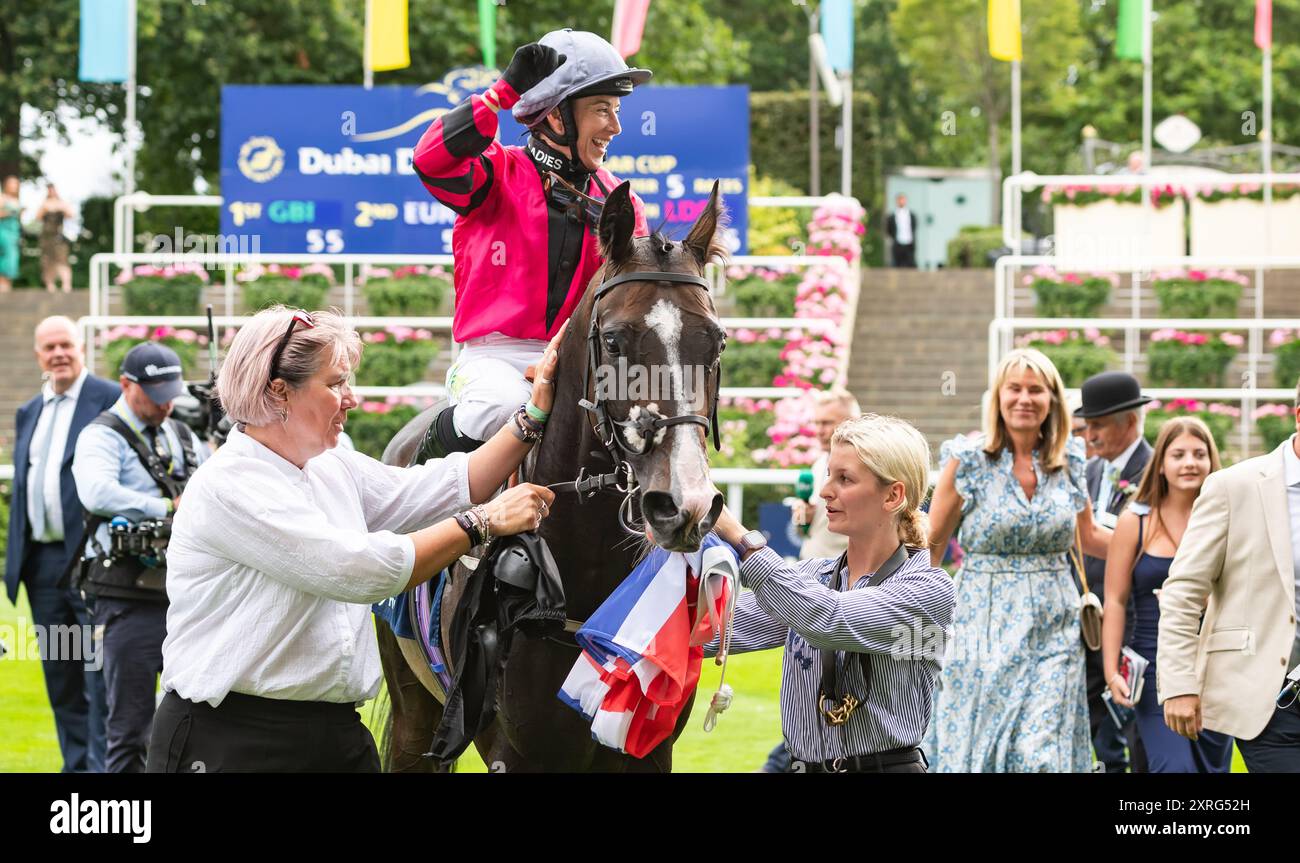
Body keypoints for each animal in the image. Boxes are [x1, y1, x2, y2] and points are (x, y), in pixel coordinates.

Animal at [377, 180, 733, 769]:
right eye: (613, 341)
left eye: (717, 341)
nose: (685, 505)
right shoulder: (516, 750)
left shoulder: (646, 750)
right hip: (413, 712)